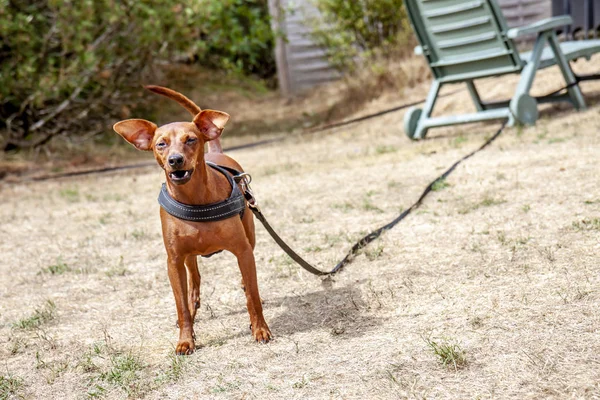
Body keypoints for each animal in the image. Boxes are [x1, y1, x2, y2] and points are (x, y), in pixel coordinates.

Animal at [113, 86, 272, 354]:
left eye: (191, 139)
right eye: (161, 144)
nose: (175, 160)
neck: (194, 199)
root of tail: (216, 152)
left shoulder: (242, 251)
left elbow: (252, 294)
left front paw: (260, 328)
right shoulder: (174, 261)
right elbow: (181, 307)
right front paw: (185, 339)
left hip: (249, 237)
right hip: (187, 256)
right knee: (194, 278)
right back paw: (193, 302)